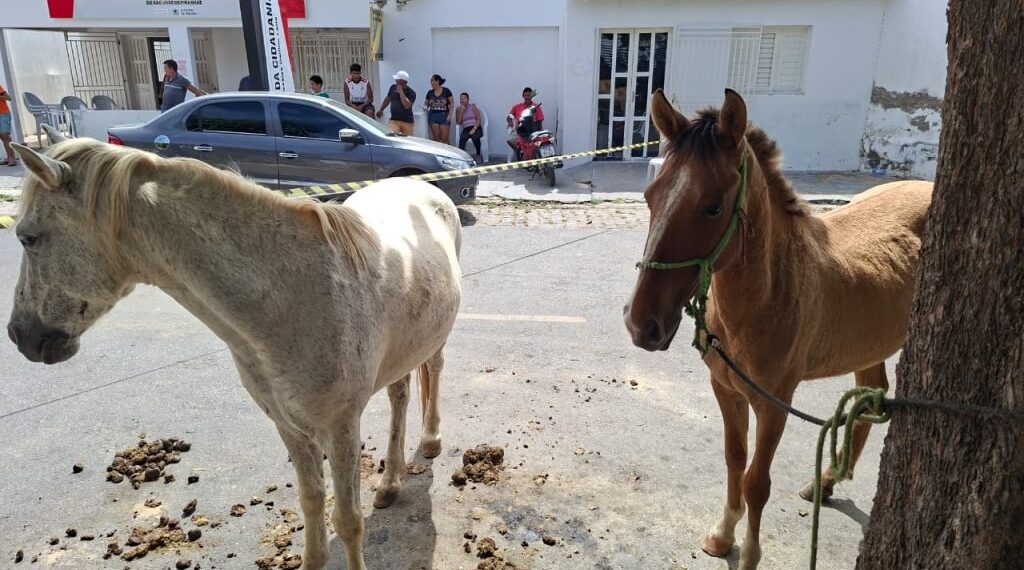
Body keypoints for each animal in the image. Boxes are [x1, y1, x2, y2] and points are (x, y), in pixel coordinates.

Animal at [6, 129, 462, 570]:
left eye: (27, 237)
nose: (18, 334)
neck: (291, 296)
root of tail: (423, 188)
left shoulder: (341, 429)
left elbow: (348, 521)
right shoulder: (289, 425)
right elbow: (311, 501)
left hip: (437, 339)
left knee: (435, 371)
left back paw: (431, 440)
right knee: (400, 394)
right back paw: (389, 483)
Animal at [624, 90, 931, 569]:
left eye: (713, 206)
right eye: (650, 196)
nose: (642, 324)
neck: (767, 294)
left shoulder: (774, 405)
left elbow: (757, 481)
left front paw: (749, 553)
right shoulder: (726, 389)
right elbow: (735, 461)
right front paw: (722, 534)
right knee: (871, 396)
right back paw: (826, 482)